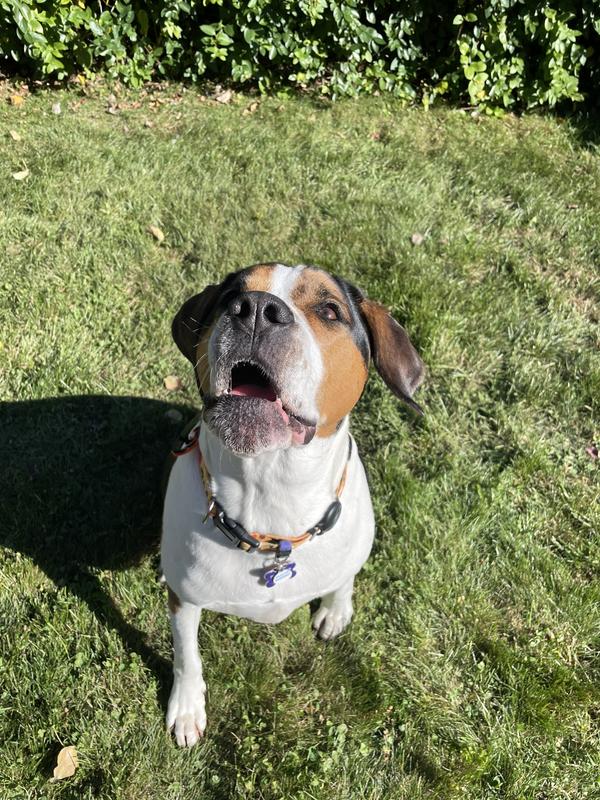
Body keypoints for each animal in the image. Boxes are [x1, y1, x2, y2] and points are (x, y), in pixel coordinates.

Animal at [161, 262, 424, 747]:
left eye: (330, 310)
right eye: (231, 297)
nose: (255, 310)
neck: (271, 493)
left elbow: (345, 577)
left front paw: (336, 609)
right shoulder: (182, 600)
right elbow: (187, 655)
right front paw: (187, 709)